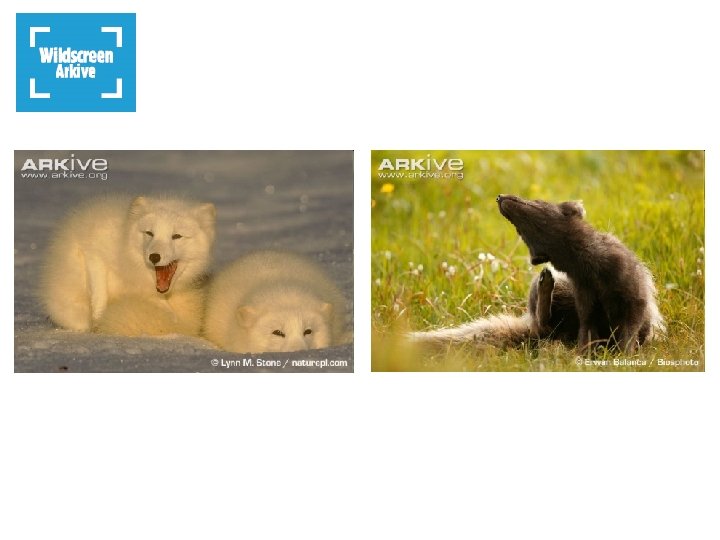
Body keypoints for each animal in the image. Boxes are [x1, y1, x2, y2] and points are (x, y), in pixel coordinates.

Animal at [40, 194, 216, 336]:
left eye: (176, 236)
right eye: (149, 233)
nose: (154, 256)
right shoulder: (92, 252)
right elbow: (99, 295)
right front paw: (98, 323)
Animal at [409, 195, 664, 352]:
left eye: (537, 202)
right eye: (520, 231)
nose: (500, 198)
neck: (588, 269)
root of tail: (526, 323)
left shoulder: (633, 296)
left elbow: (630, 328)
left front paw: (623, 354)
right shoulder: (585, 300)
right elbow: (587, 331)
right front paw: (583, 357)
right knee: (545, 326)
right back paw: (545, 285)